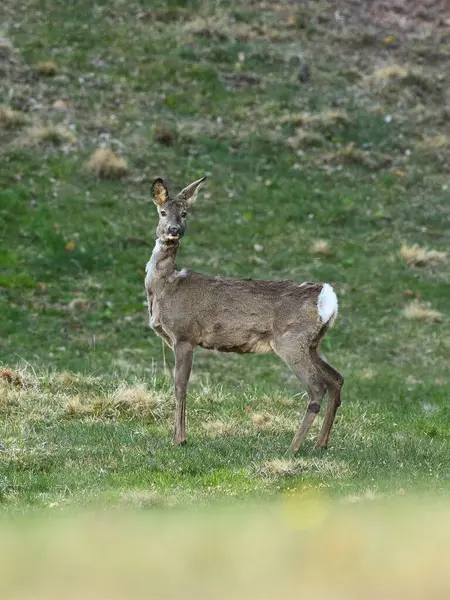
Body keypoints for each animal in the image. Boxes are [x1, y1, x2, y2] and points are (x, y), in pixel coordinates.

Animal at [146, 176, 342, 452]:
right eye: (163, 212)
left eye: (184, 213)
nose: (174, 229)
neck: (165, 285)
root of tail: (326, 298)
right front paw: (180, 437)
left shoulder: (184, 335)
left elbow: (180, 386)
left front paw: (179, 439)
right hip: (312, 344)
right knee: (336, 379)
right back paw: (320, 444)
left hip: (290, 341)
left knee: (317, 387)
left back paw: (293, 447)